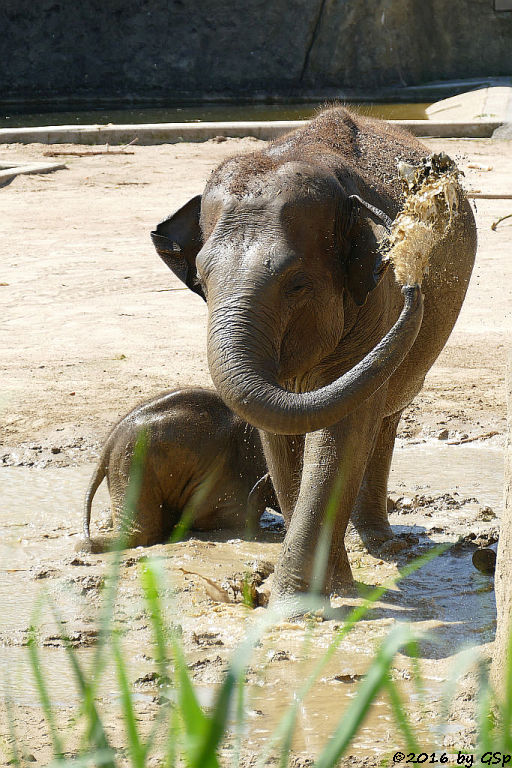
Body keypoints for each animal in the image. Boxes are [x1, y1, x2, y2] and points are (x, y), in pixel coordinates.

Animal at [151, 108, 476, 608]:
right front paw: (317, 592)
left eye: (296, 283)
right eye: (202, 279)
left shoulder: (376, 300)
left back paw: (383, 544)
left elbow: (341, 429)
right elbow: (279, 433)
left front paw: (296, 603)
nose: (412, 280)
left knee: (384, 416)